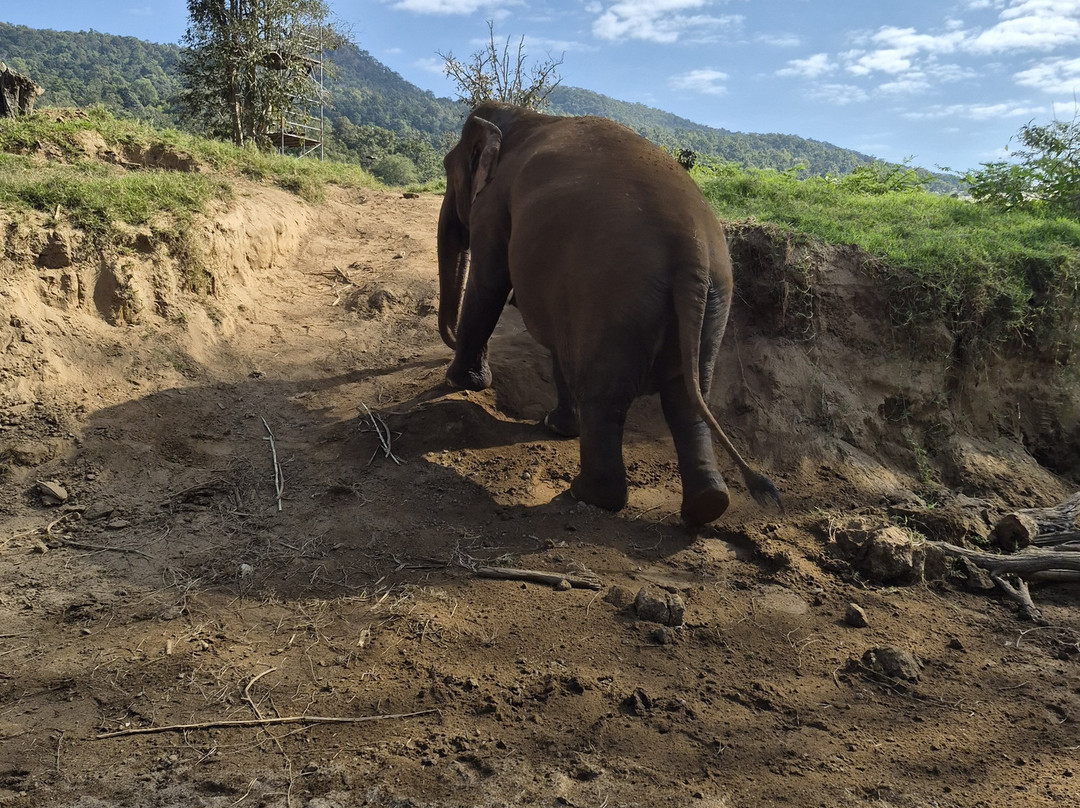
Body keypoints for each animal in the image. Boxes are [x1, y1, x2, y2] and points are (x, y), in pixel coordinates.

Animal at [437, 102, 781, 525]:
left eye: (448, 169)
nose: (452, 345)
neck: (521, 116)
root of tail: (691, 256)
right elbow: (557, 344)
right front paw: (555, 426)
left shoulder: (494, 205)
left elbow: (488, 285)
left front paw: (459, 383)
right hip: (713, 302)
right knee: (688, 398)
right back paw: (707, 505)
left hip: (615, 294)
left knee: (606, 397)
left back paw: (586, 494)